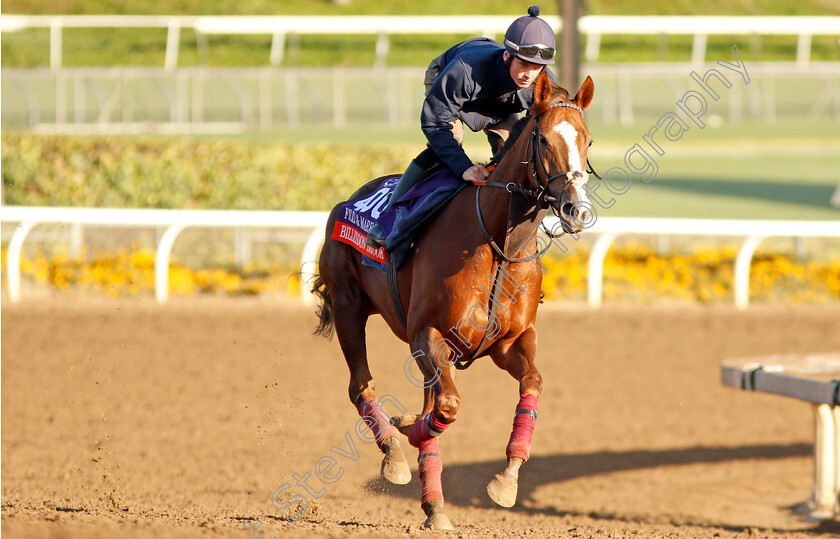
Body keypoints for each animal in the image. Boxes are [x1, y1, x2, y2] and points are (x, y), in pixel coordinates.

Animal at [310, 69, 596, 528]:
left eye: (587, 141)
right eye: (544, 139)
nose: (577, 210)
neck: (499, 244)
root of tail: (349, 199)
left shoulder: (508, 343)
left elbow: (530, 384)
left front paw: (505, 481)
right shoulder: (427, 335)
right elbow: (446, 408)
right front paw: (408, 435)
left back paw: (433, 502)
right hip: (349, 305)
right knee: (361, 387)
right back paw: (395, 454)